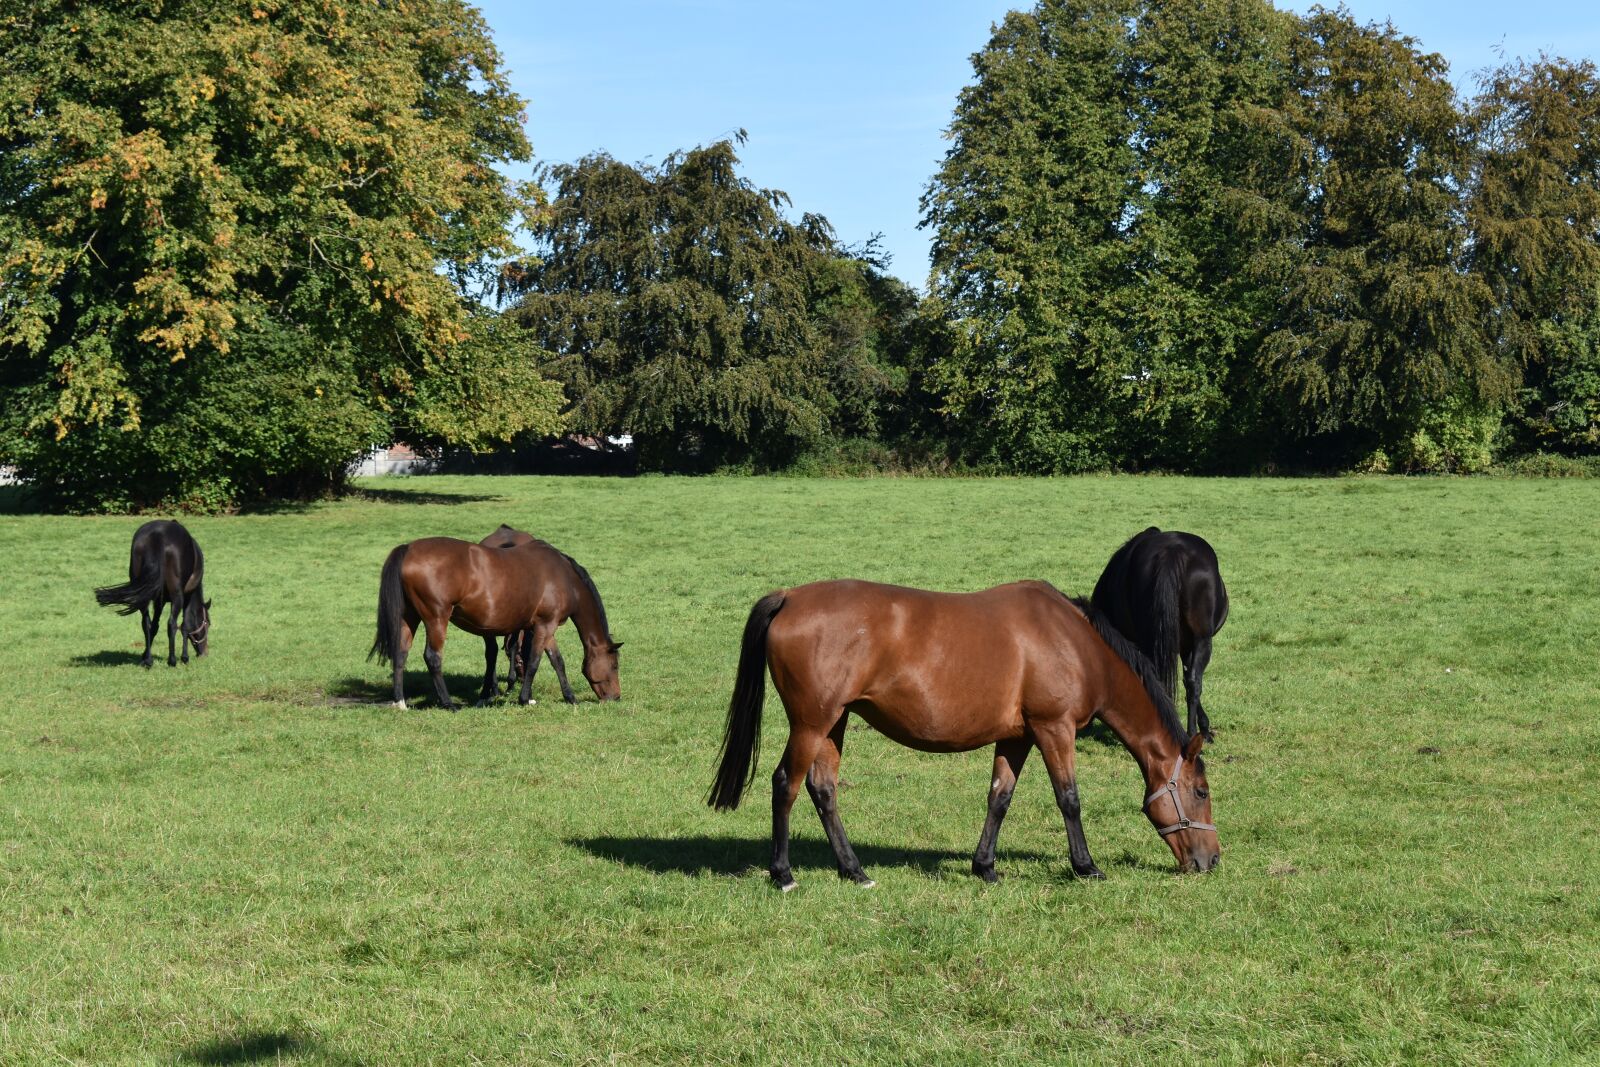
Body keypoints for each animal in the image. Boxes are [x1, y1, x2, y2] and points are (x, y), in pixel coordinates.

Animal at [94, 520, 212, 668]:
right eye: (208, 623)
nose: (205, 653)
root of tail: (158, 535)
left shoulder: (158, 600)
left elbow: (154, 626)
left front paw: (144, 656)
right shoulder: (186, 596)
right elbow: (185, 625)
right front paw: (184, 657)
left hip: (143, 595)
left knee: (146, 623)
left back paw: (148, 661)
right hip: (177, 596)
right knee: (171, 624)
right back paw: (172, 661)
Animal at [708, 579, 1217, 890]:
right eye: (1201, 791)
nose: (1211, 861)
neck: (1076, 644)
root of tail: (790, 597)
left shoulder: (1018, 736)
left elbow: (999, 797)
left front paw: (985, 867)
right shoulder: (1054, 728)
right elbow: (1069, 798)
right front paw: (1086, 866)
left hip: (835, 722)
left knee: (823, 789)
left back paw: (855, 871)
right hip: (812, 724)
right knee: (785, 785)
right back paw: (783, 874)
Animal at [1091, 527, 1229, 741]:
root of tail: (1173, 552)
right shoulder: (1187, 646)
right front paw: (1204, 729)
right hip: (1201, 640)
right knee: (1192, 682)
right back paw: (1191, 733)